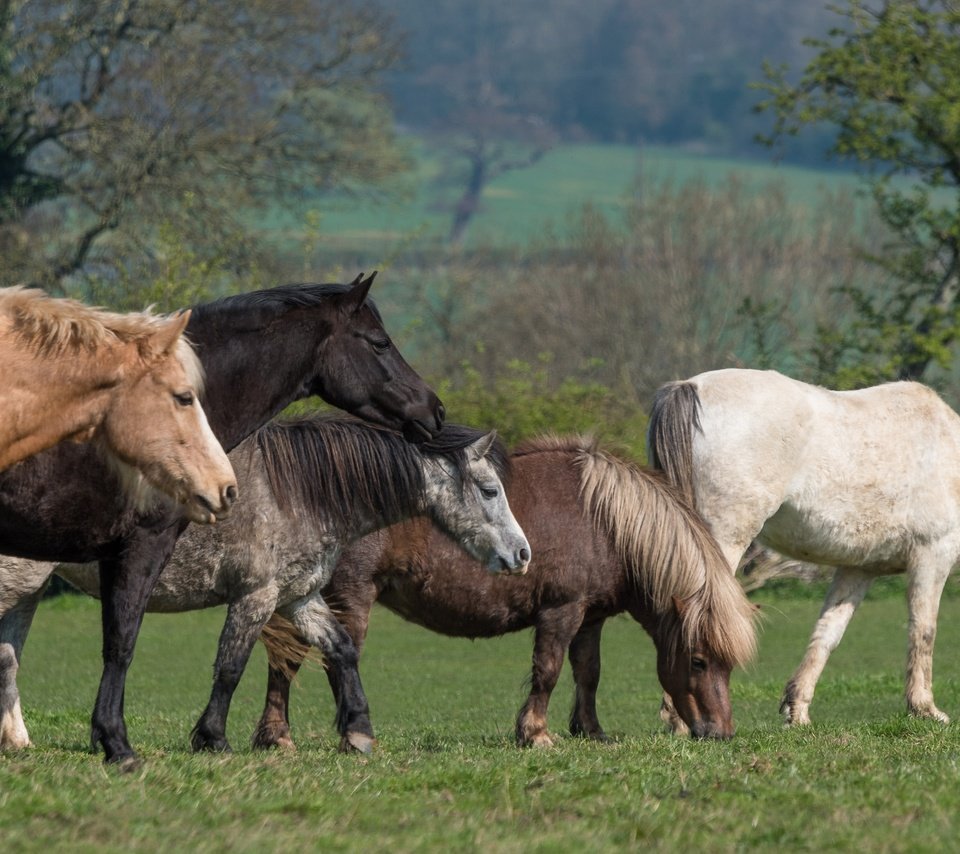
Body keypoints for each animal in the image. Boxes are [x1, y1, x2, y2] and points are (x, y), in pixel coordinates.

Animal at [0, 420, 528, 756]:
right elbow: (231, 666)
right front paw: (212, 738)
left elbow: (341, 649)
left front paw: (358, 732)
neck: (295, 491)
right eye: (489, 490)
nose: (523, 555)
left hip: (28, 591)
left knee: (9, 657)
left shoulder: (299, 597)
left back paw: (18, 742)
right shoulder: (256, 597)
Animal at [251, 434, 760, 748]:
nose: (720, 732)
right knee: (328, 660)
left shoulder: (590, 617)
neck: (604, 521)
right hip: (349, 599)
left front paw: (590, 731)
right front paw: (535, 734)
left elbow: (588, 673)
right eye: (699, 660)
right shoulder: (561, 611)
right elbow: (548, 671)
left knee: (285, 662)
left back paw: (276, 736)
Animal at [648, 368, 960, 728]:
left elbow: (827, 634)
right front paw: (925, 708)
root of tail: (690, 387)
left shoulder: (859, 568)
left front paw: (797, 712)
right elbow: (924, 630)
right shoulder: (933, 554)